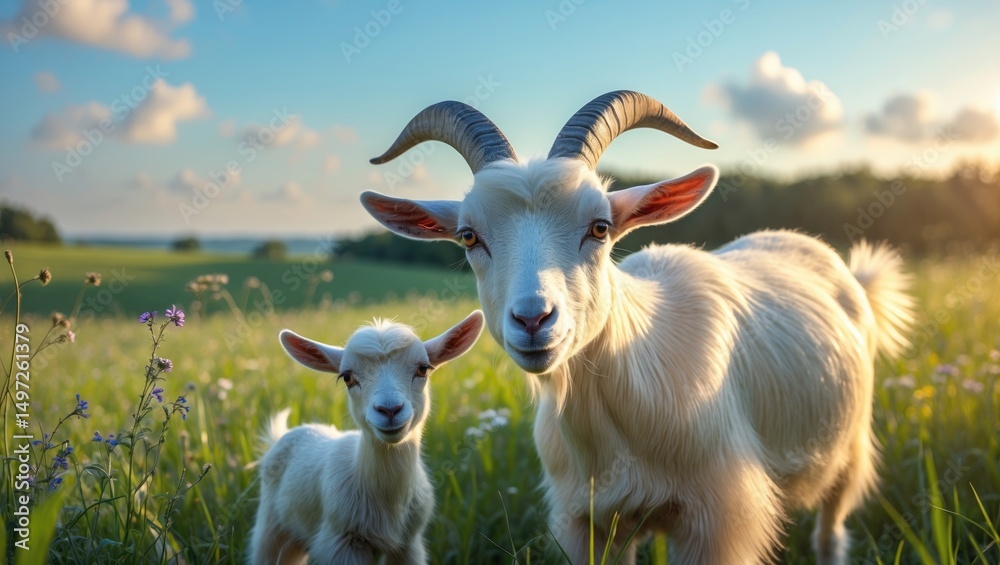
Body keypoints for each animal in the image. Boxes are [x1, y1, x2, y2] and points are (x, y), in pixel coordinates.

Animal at [250, 311, 485, 564]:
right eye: (347, 377)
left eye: (423, 369)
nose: (389, 410)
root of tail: (284, 435)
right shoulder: (341, 543)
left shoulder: (409, 545)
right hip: (271, 529)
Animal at [359, 91, 914, 564]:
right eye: (469, 236)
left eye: (600, 227)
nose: (534, 320)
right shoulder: (587, 522)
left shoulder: (720, 518)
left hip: (849, 450)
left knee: (831, 531)